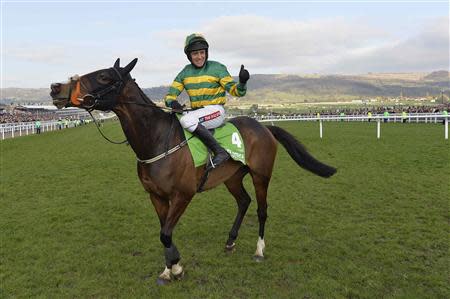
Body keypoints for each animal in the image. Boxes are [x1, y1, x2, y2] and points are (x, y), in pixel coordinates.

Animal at [50, 58, 338, 286]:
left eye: (103, 76)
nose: (56, 88)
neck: (157, 140)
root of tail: (265, 127)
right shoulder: (156, 196)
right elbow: (164, 233)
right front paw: (169, 269)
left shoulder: (183, 195)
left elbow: (166, 233)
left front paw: (176, 267)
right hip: (232, 177)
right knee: (243, 201)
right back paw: (230, 241)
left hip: (261, 175)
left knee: (261, 210)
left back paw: (259, 250)